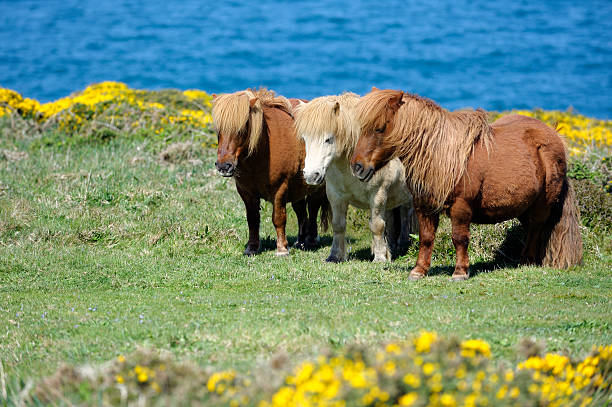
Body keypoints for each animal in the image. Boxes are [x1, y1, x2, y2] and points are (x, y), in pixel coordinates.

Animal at [214, 88, 330, 256]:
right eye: (218, 130)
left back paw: (311, 240)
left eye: (242, 129)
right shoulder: (246, 192)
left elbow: (278, 218)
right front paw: (252, 248)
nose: (224, 166)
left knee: (313, 208)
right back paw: (300, 241)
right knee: (301, 212)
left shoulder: (279, 189)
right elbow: (252, 219)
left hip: (318, 186)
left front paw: (282, 249)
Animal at [294, 93, 418, 262]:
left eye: (328, 139)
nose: (311, 175)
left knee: (407, 213)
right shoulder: (335, 196)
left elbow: (377, 226)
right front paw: (335, 256)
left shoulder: (378, 195)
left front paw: (380, 257)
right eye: (305, 138)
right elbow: (338, 225)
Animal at [352, 89, 580, 280]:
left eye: (380, 128)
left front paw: (460, 272)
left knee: (536, 229)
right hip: (524, 207)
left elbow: (459, 238)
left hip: (542, 205)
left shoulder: (461, 207)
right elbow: (426, 238)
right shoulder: (424, 206)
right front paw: (419, 271)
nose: (357, 167)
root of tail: (556, 136)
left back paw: (527, 262)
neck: (441, 155)